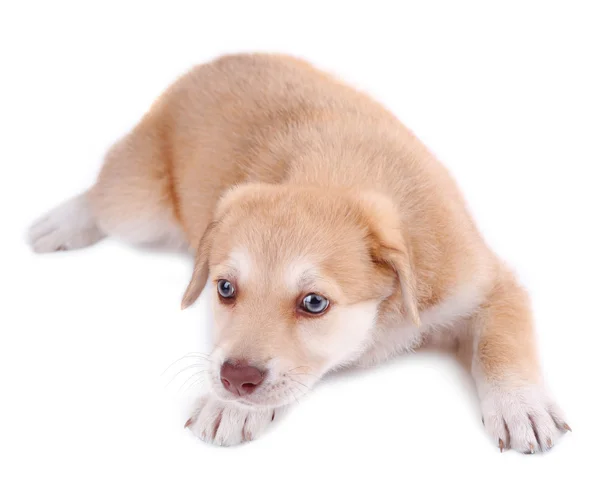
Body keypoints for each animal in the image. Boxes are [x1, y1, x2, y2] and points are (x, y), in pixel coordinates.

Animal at [28, 53, 568, 454]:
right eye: (225, 288)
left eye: (313, 303)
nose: (234, 381)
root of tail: (208, 64)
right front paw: (232, 406)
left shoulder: (489, 284)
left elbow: (502, 343)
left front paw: (521, 406)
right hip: (136, 205)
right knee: (103, 192)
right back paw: (63, 221)